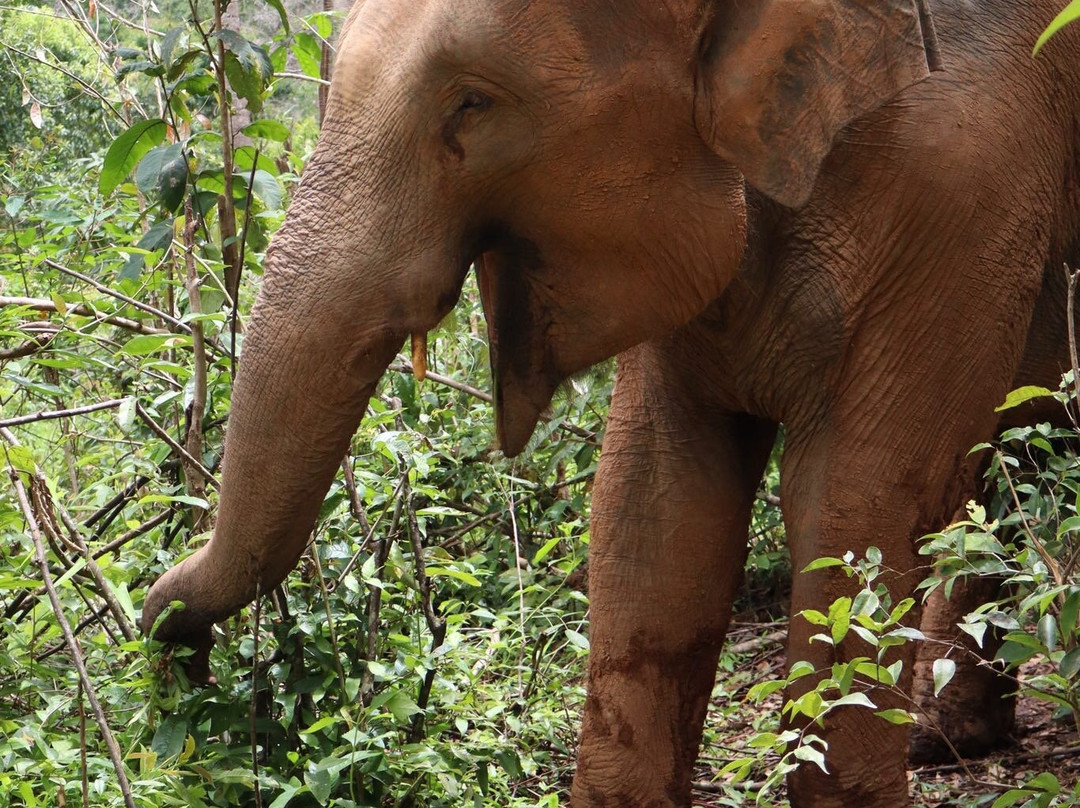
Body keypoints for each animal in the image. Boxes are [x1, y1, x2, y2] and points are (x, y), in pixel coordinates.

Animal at [142, 0, 1080, 805]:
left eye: (473, 102)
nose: (179, 655)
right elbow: (653, 503)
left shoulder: (966, 174)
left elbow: (859, 499)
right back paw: (945, 739)